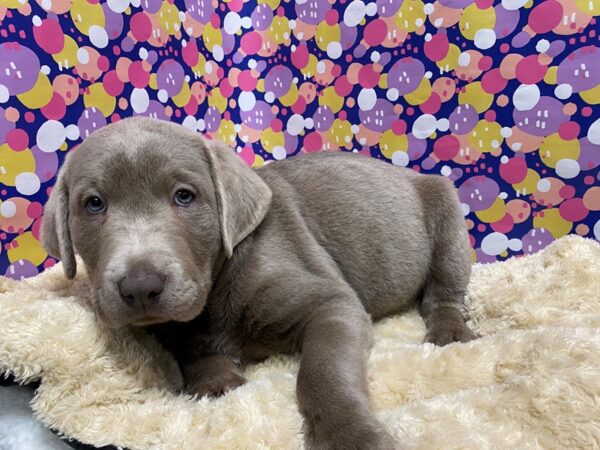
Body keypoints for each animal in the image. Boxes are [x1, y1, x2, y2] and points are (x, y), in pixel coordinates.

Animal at [41, 117, 474, 450]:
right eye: (94, 204)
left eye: (184, 196)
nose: (140, 287)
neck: (216, 290)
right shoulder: (174, 329)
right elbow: (193, 349)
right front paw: (217, 381)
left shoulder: (333, 304)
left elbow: (323, 371)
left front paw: (350, 437)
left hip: (446, 217)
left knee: (445, 292)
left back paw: (449, 332)